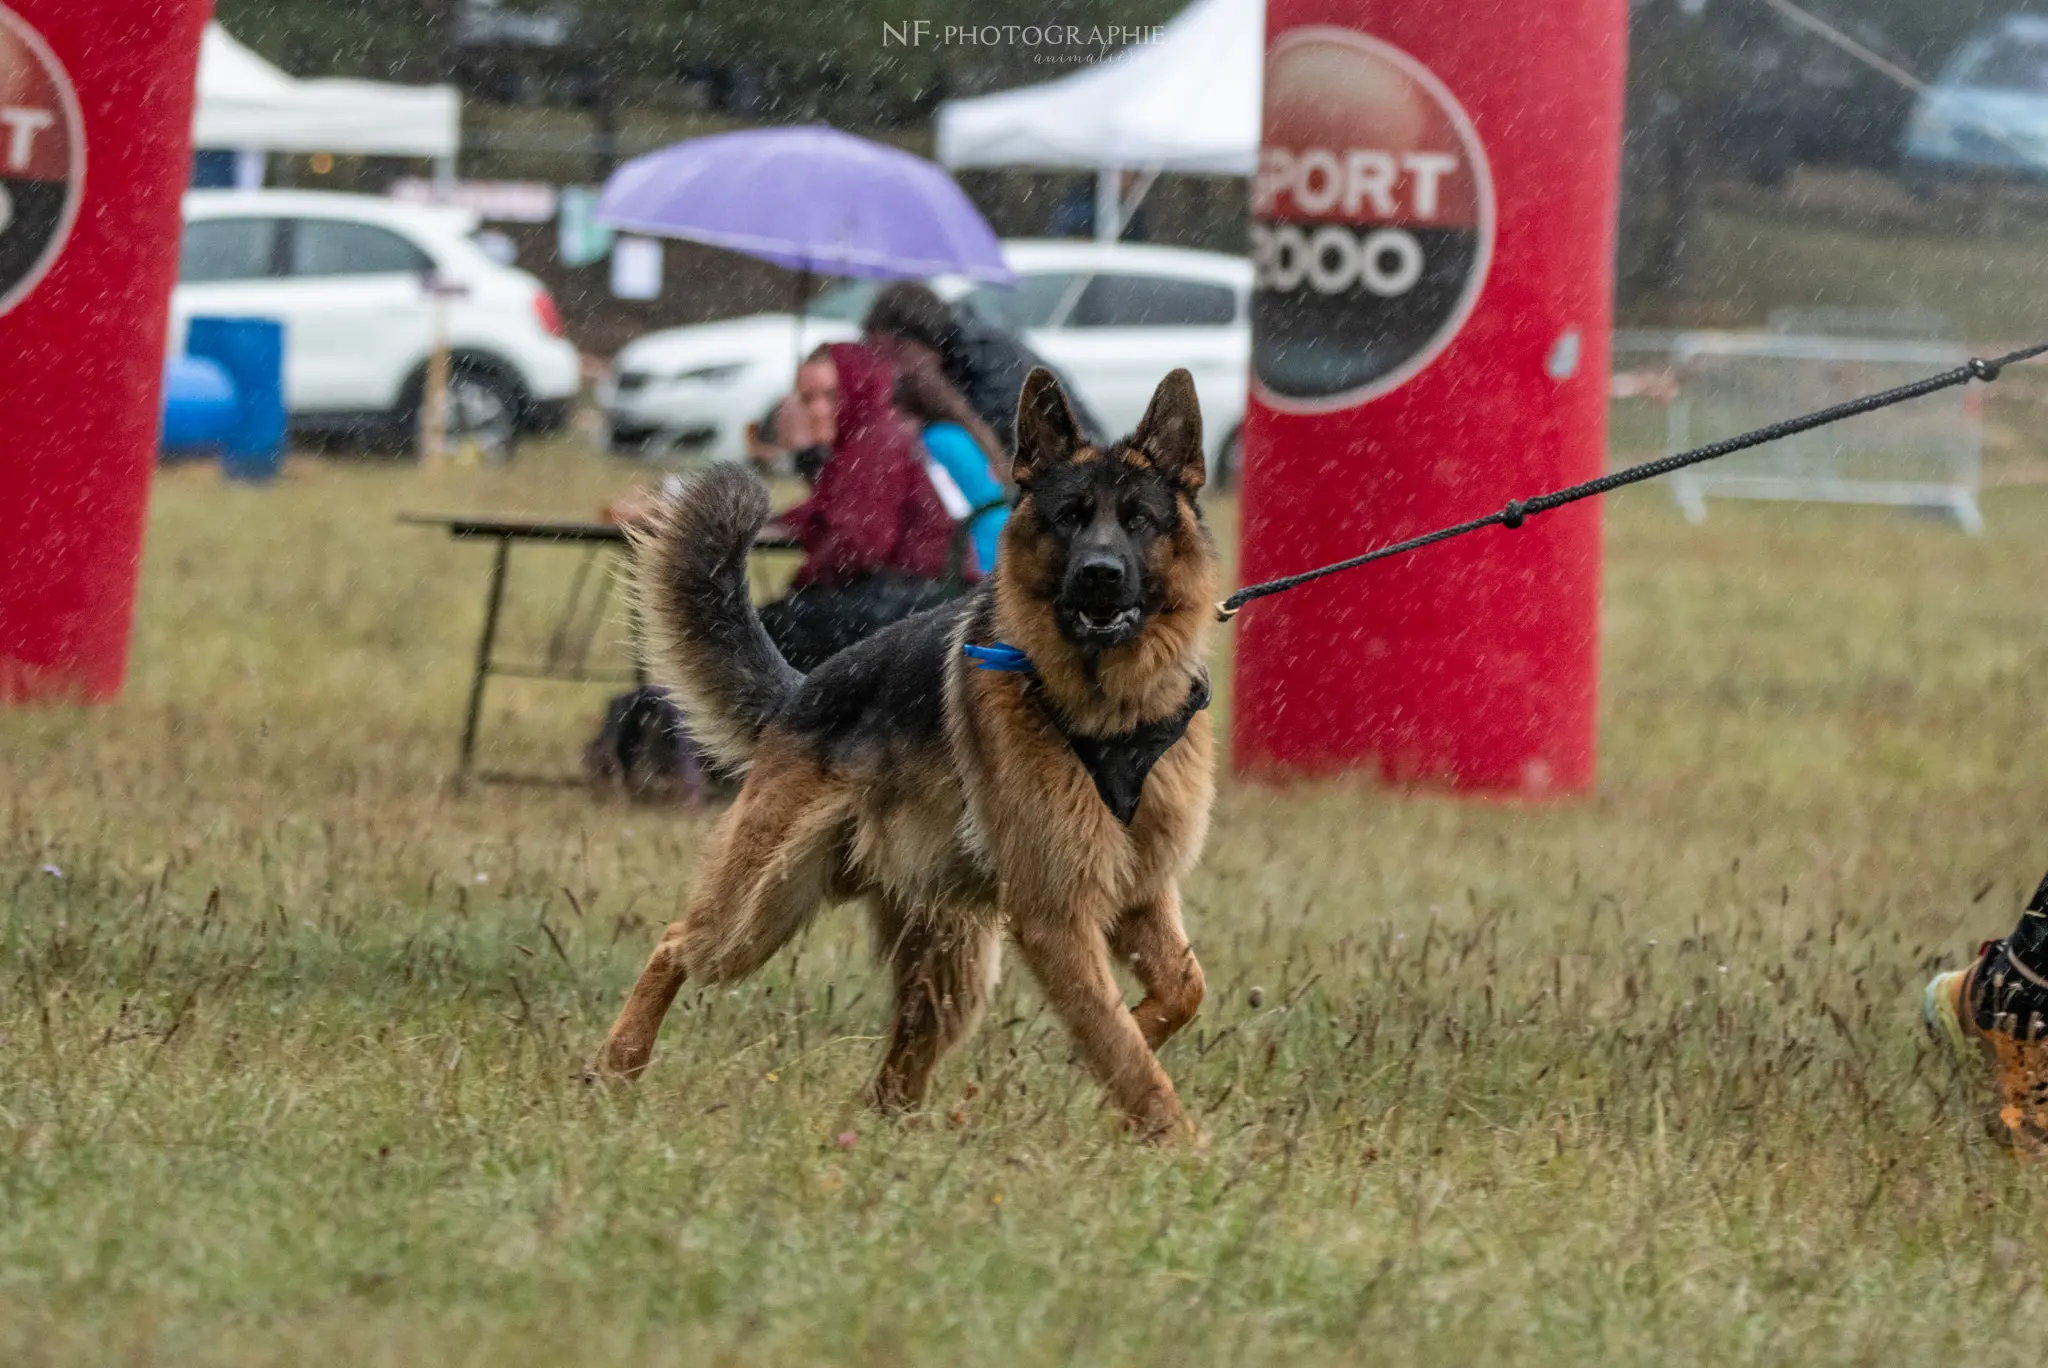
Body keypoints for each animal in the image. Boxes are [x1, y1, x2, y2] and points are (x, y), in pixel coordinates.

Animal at [598, 368, 1220, 1138]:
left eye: (1137, 519)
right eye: (1071, 517)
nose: (1101, 574)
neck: (1113, 713)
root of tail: (801, 691)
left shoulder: (1141, 892)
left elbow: (1179, 992)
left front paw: (1128, 1047)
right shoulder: (1057, 917)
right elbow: (1121, 1047)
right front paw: (1177, 1137)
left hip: (947, 965)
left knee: (896, 1076)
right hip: (761, 909)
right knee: (677, 942)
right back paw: (619, 1062)